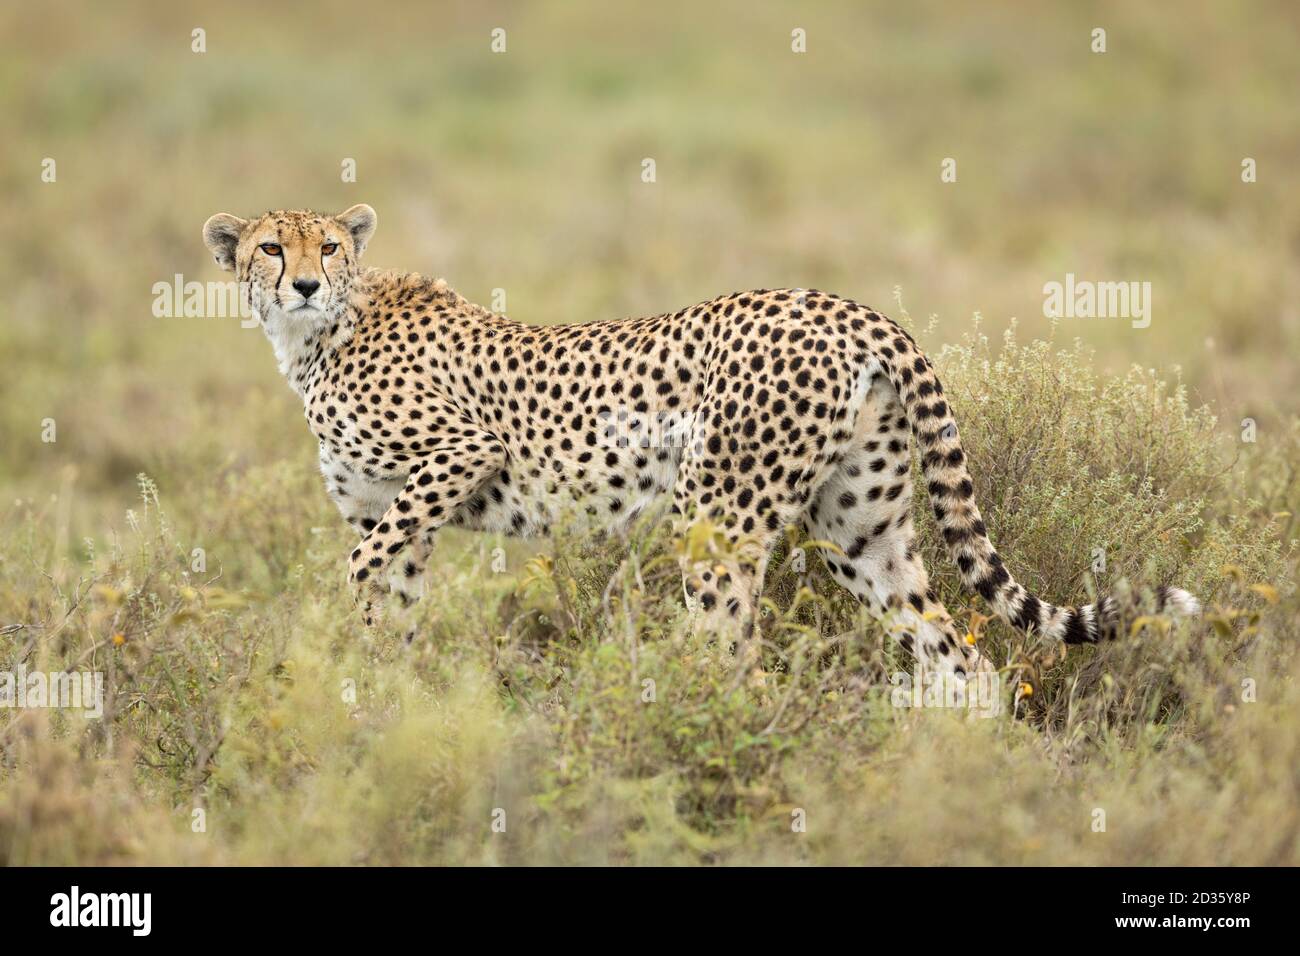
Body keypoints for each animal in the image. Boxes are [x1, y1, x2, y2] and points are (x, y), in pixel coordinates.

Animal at [200, 204, 1196, 681]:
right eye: (268, 248)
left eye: (329, 248)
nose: (301, 284)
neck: (317, 336)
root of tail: (849, 306)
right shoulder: (395, 515)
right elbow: (390, 605)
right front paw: (391, 704)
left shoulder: (456, 459)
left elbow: (359, 570)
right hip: (862, 529)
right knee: (960, 660)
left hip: (716, 517)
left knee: (735, 659)